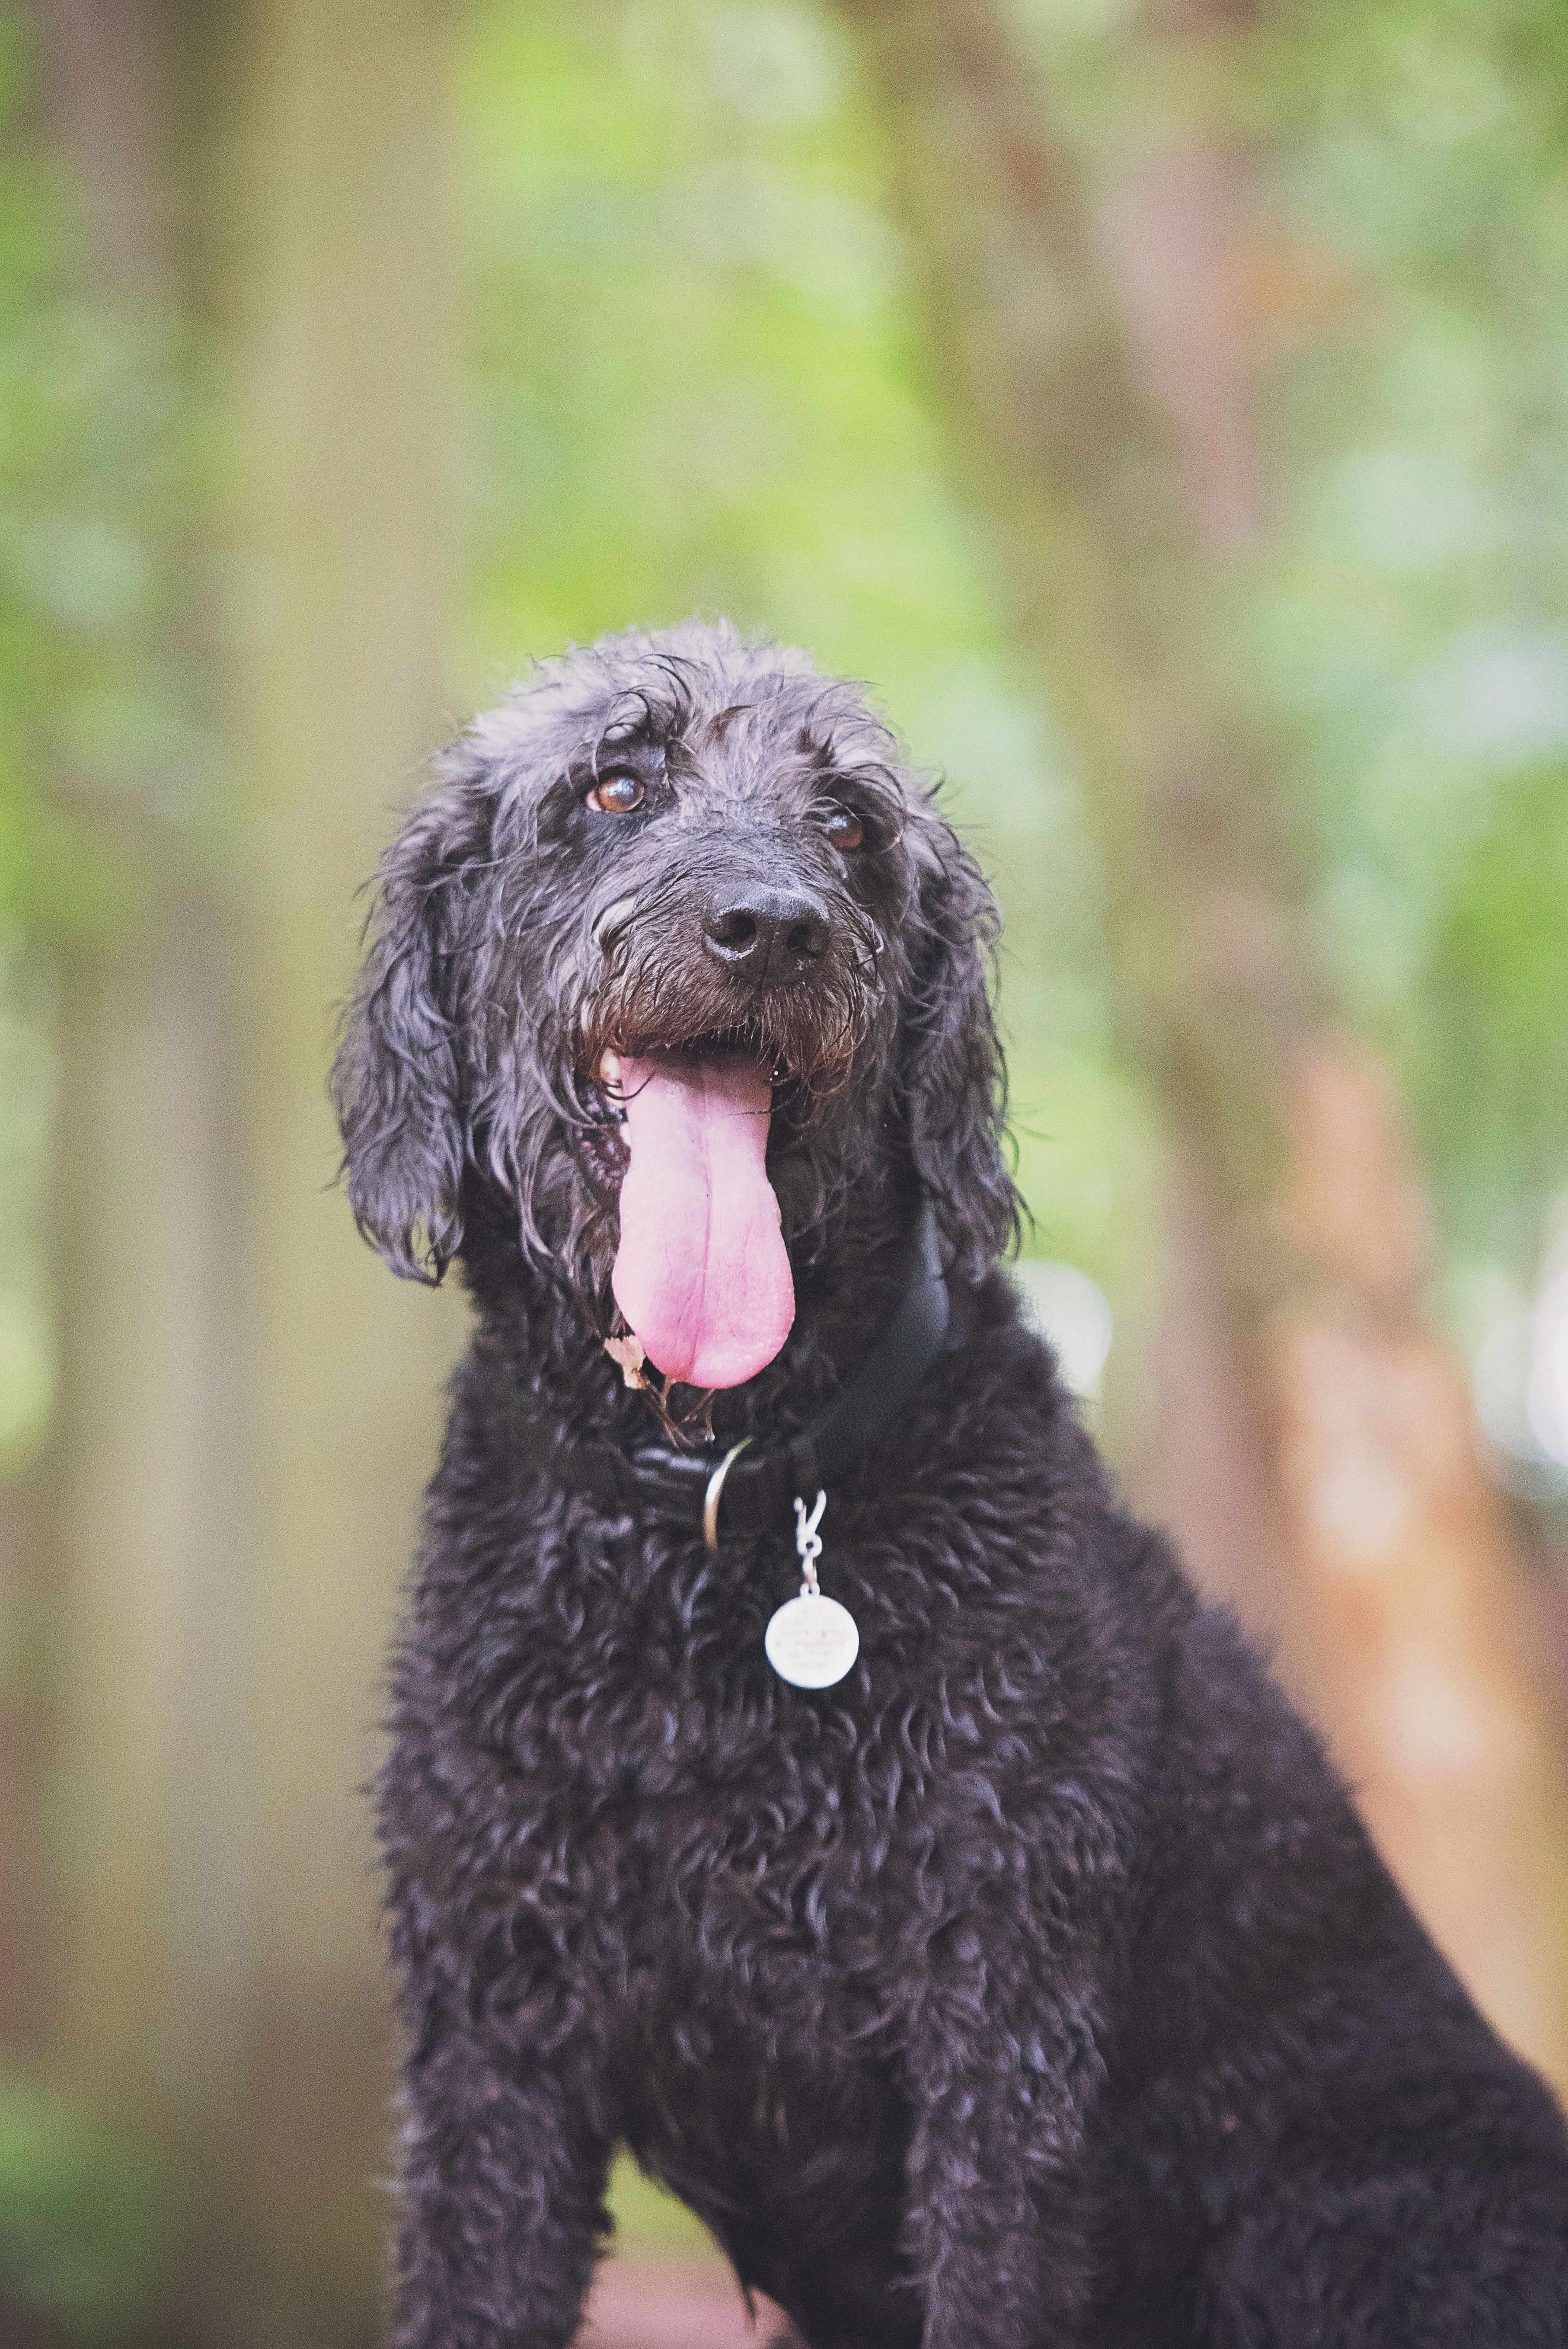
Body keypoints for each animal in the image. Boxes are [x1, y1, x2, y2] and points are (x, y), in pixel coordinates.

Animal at [333, 618, 1568, 2349]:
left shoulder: (1001, 2042)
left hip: (1365, 2221)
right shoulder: (490, 2049)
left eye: (848, 825)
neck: (708, 1519)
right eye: (614, 783)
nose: (768, 926)